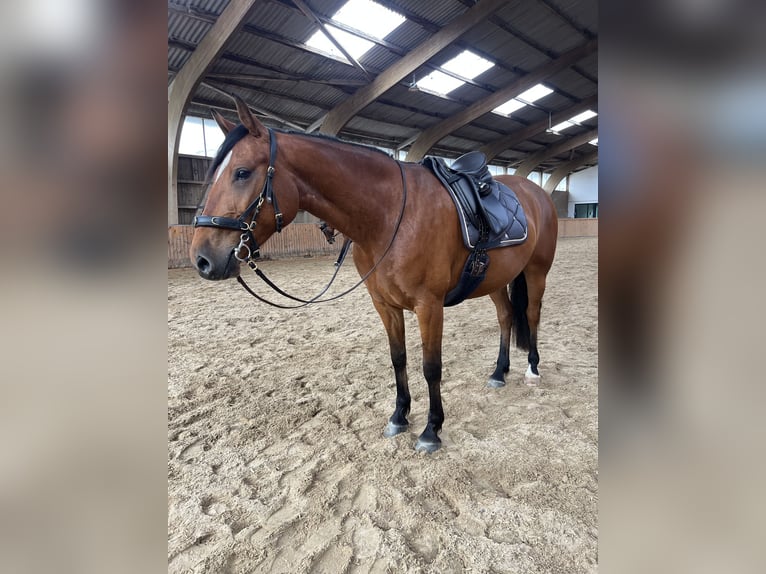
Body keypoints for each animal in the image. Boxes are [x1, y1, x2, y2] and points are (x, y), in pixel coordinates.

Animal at [190, 95, 558, 453]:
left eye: (241, 172)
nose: (202, 259)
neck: (390, 215)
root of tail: (534, 191)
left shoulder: (429, 306)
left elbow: (431, 367)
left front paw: (431, 430)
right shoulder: (384, 304)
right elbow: (398, 359)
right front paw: (399, 416)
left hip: (536, 272)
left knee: (531, 314)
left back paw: (532, 369)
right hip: (495, 278)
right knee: (506, 316)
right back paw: (499, 372)